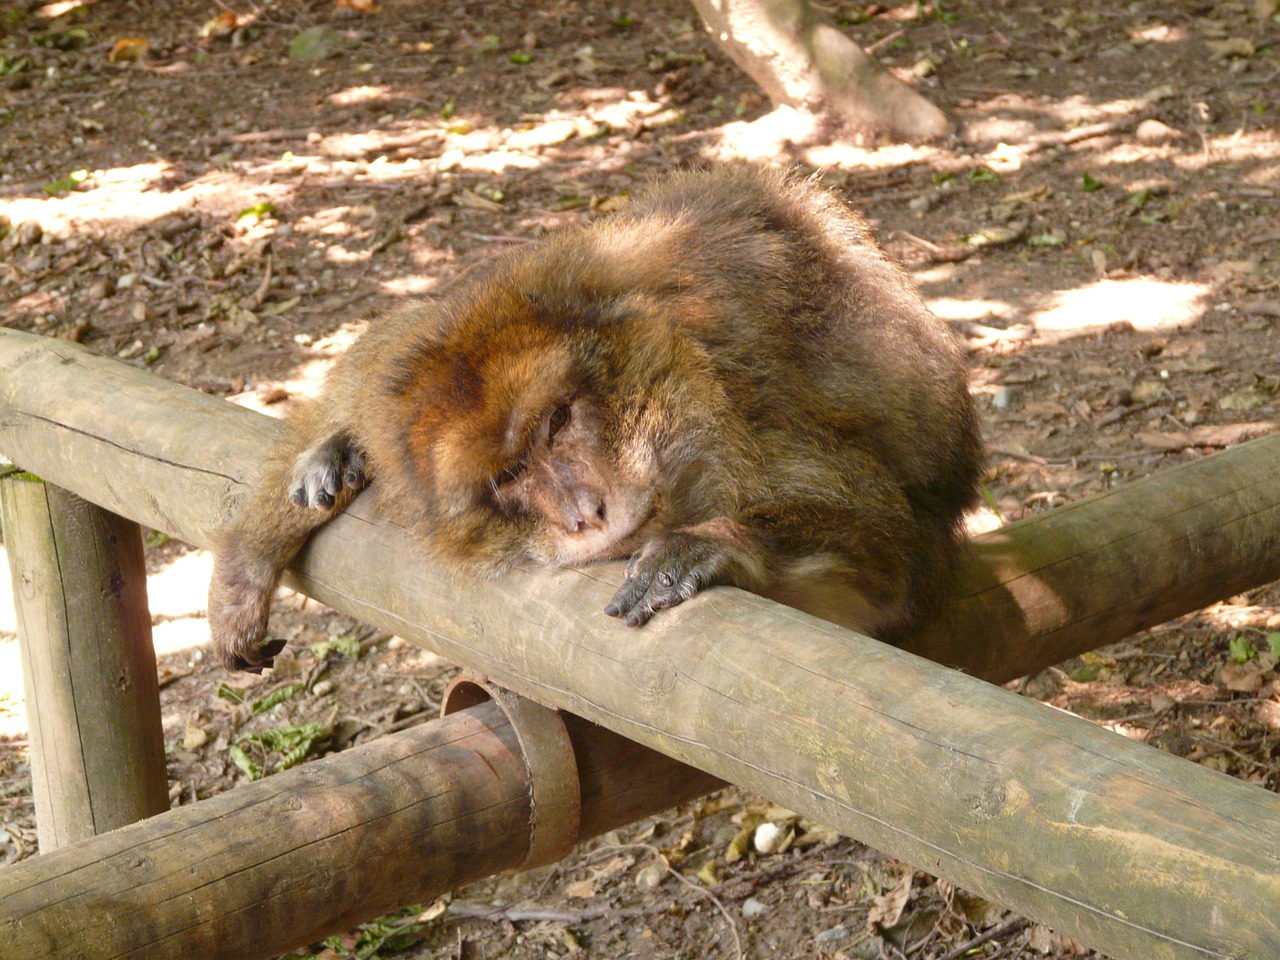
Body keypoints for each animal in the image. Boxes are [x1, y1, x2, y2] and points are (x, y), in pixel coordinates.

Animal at [207, 165, 977, 670]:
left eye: (556, 422)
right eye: (509, 476)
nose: (584, 513)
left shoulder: (752, 416)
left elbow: (893, 562)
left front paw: (716, 543)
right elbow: (382, 357)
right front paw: (255, 549)